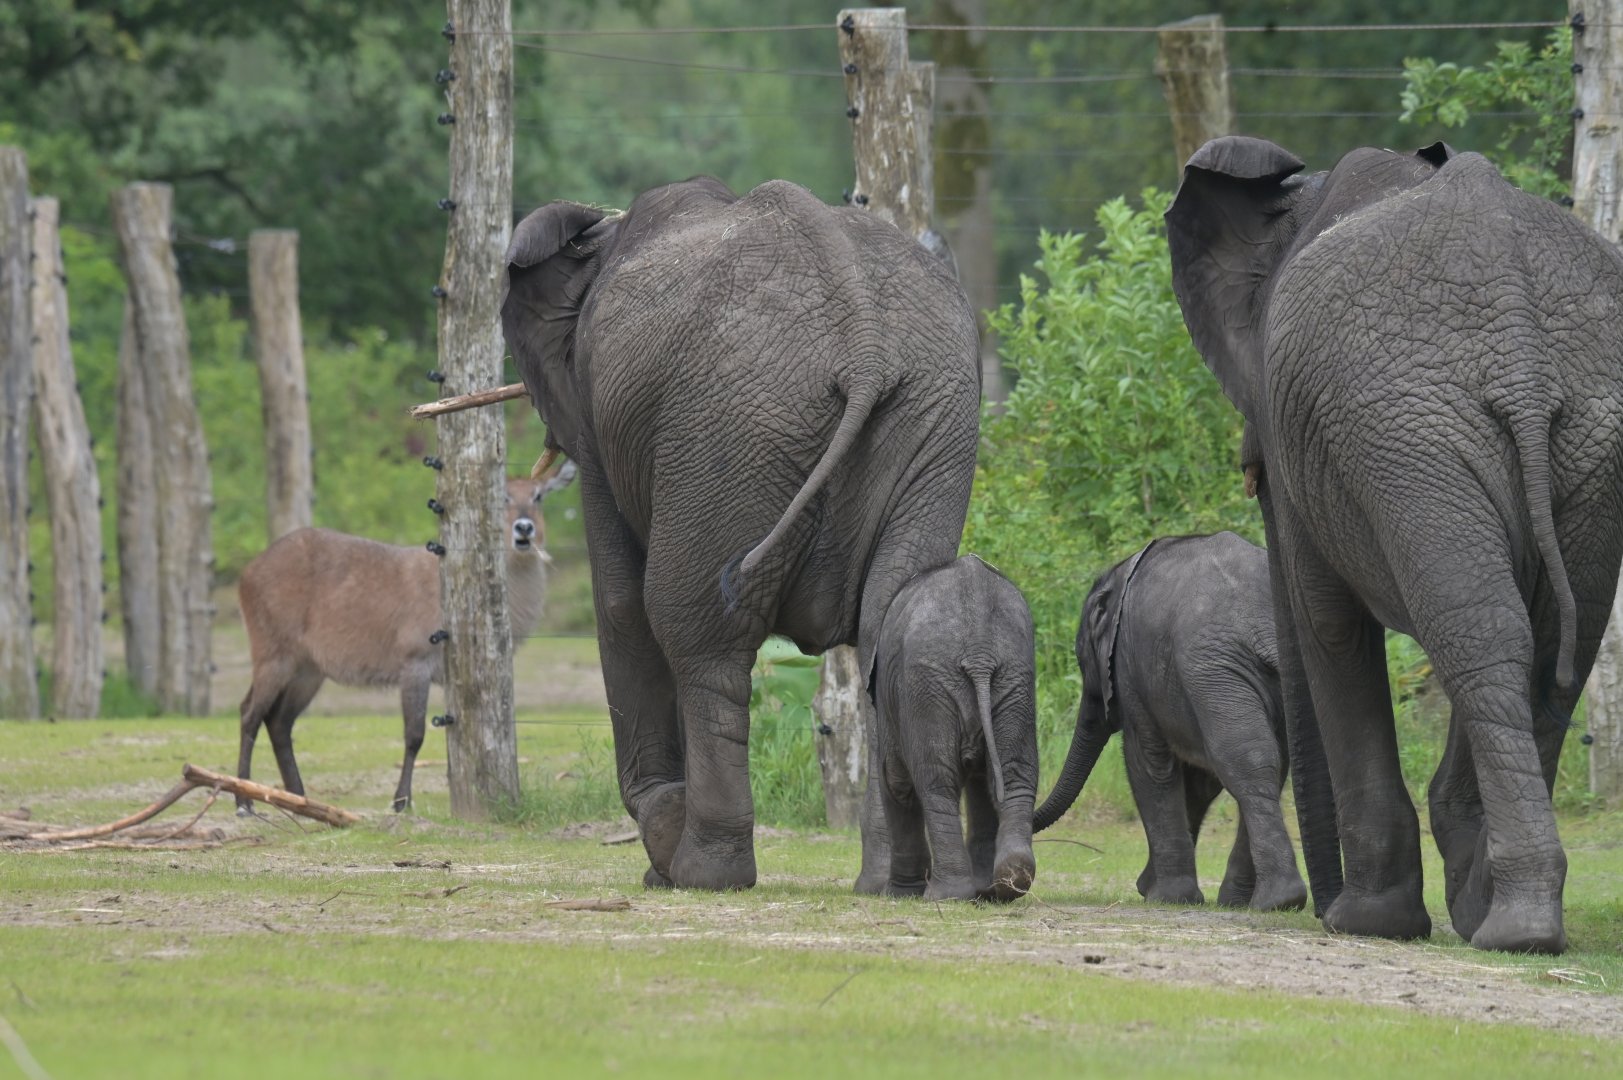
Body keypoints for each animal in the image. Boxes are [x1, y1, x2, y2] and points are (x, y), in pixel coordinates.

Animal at [502, 176, 981, 891]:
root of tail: (865, 341)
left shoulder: (595, 413)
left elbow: (619, 604)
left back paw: (701, 871)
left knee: (695, 632)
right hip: (932, 412)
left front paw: (658, 851)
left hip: (727, 427)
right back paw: (887, 886)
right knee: (888, 623)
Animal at [857, 555, 1037, 902]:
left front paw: (899, 895)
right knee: (1014, 775)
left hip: (927, 684)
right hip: (1013, 675)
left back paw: (946, 895)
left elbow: (895, 779)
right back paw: (1008, 882)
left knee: (935, 783)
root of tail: (980, 653)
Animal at [1033, 533, 1307, 912]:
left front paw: (1166, 897)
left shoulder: (1131, 669)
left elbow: (1148, 764)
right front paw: (1153, 888)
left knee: (1243, 760)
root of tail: (1263, 623)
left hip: (1211, 668)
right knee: (1266, 764)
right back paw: (1252, 902)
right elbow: (1199, 783)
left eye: (1080, 658)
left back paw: (1274, 900)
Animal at [1165, 136, 1623, 953]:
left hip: (1404, 430)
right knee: (1545, 650)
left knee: (1479, 633)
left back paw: (1508, 926)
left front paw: (1366, 923)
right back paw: (1508, 918)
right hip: (1565, 434)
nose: (1311, 905)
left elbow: (1327, 624)